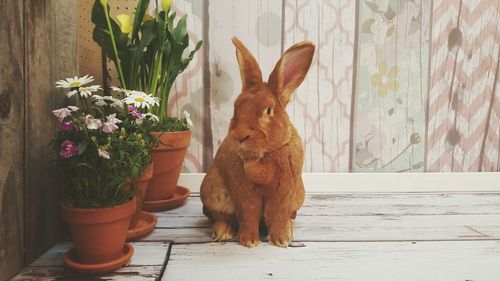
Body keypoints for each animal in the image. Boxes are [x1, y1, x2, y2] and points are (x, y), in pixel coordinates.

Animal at [200, 37, 314, 247]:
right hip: (214, 193)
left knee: (289, 216)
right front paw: (249, 241)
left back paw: (289, 230)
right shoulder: (245, 192)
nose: (240, 136)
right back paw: (222, 232)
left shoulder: (285, 190)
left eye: (268, 110)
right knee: (220, 217)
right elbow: (249, 214)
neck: (267, 153)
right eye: (236, 108)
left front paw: (281, 240)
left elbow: (278, 215)